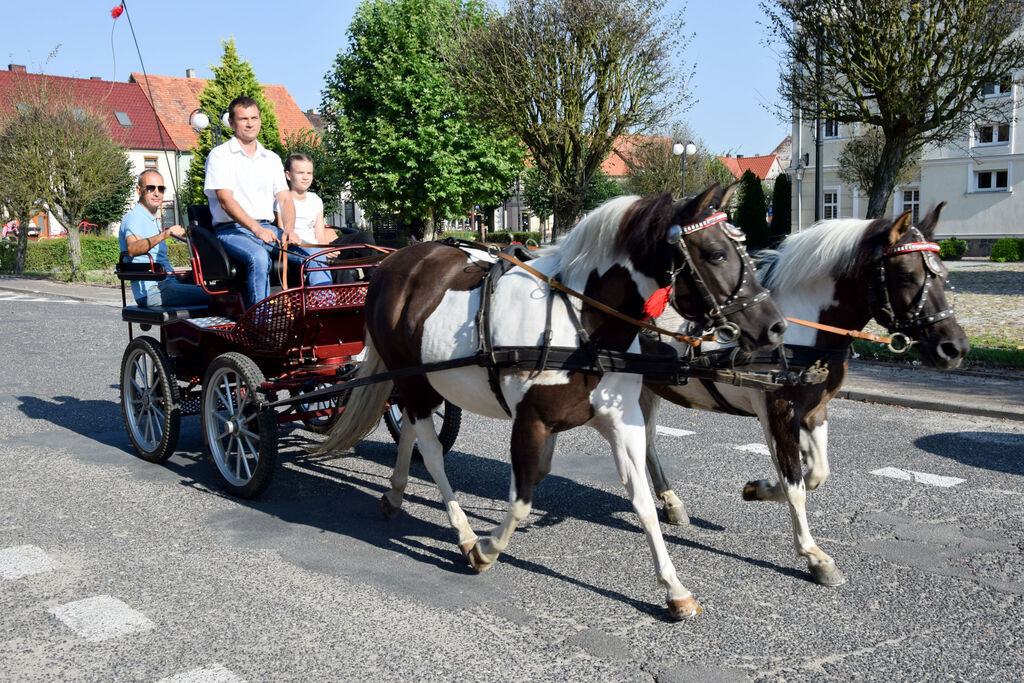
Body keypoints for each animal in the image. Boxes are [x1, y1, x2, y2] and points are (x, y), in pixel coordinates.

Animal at [323, 185, 786, 618]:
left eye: (743, 249)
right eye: (716, 254)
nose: (775, 326)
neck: (580, 322)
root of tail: (393, 262)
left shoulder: (623, 422)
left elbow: (642, 502)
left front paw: (675, 589)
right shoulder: (530, 422)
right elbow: (522, 499)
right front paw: (486, 550)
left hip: (419, 383)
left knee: (410, 432)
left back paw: (395, 494)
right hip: (413, 380)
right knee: (433, 452)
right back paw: (464, 532)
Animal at [638, 202, 966, 589]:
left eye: (943, 274)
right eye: (906, 276)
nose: (954, 348)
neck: (801, 329)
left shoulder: (813, 411)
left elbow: (816, 474)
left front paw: (760, 488)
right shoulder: (778, 411)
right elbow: (795, 483)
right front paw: (814, 556)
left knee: (647, 442)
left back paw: (671, 502)